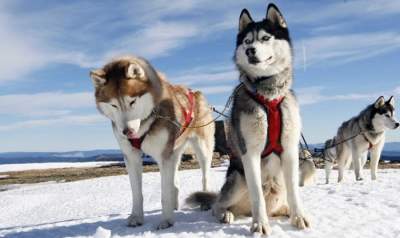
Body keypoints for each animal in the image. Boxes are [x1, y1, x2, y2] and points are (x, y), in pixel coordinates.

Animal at [90, 55, 216, 229]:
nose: (127, 132)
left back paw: (204, 201)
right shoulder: (131, 156)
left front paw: (167, 220)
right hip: (174, 151)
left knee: (204, 176)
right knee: (175, 181)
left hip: (202, 148)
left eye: (132, 102)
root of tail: (195, 92)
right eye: (113, 104)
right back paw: (175, 205)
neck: (145, 122)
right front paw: (136, 217)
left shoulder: (164, 156)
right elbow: (137, 193)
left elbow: (164, 193)